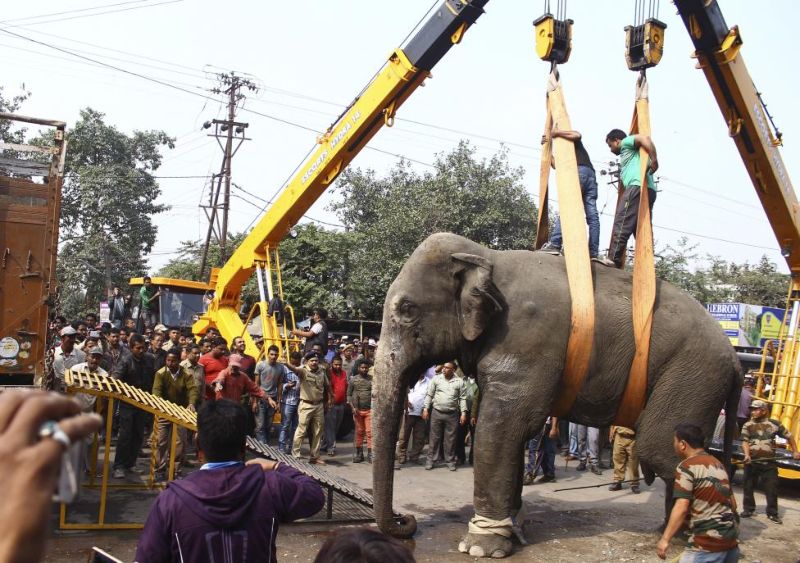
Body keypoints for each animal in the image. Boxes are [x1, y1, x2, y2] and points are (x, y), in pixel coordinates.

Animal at [372, 232, 740, 560]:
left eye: (407, 310)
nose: (407, 519)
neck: (487, 256)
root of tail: (736, 359)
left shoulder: (526, 340)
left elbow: (502, 427)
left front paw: (480, 547)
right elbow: (515, 434)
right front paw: (515, 527)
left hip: (693, 375)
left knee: (661, 448)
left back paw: (693, 539)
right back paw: (675, 534)